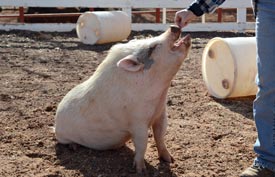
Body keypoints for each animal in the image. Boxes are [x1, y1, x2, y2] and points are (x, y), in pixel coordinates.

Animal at [54, 25, 191, 173]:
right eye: (152, 48)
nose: (174, 27)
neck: (159, 96)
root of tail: (55, 121)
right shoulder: (137, 122)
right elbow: (142, 144)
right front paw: (141, 171)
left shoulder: (161, 113)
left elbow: (160, 136)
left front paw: (170, 160)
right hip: (61, 136)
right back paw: (73, 146)